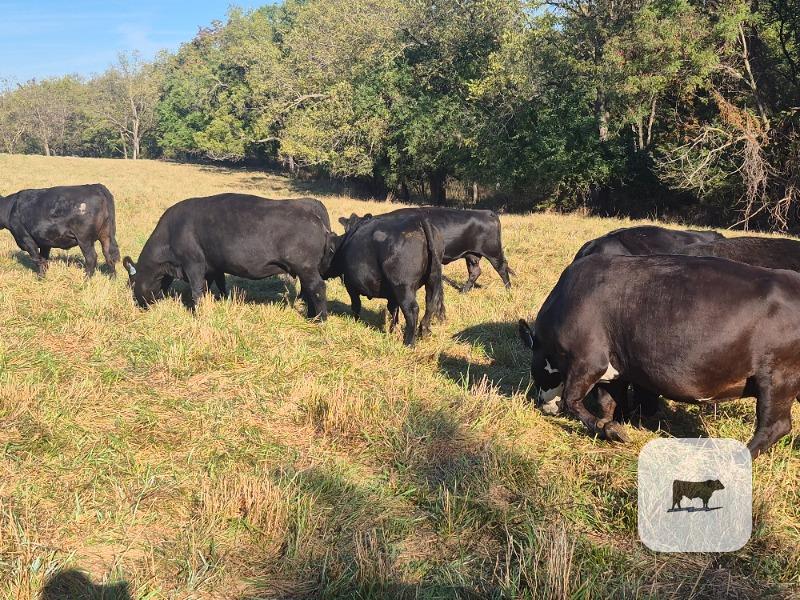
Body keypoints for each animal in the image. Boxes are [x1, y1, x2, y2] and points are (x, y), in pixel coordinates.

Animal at [122, 194, 333, 319]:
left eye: (132, 283)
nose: (138, 305)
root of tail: (313, 214)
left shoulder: (193, 264)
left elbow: (197, 291)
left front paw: (199, 314)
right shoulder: (213, 267)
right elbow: (217, 285)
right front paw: (222, 301)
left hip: (305, 267)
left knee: (317, 288)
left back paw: (320, 319)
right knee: (309, 289)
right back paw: (311, 314)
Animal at [326, 212, 445, 346]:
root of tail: (418, 221)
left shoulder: (350, 285)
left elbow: (356, 305)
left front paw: (355, 322)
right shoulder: (392, 294)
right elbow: (393, 309)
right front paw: (393, 330)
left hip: (403, 286)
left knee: (412, 309)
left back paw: (409, 343)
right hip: (432, 278)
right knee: (430, 304)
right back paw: (424, 332)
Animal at [379, 207, 513, 292]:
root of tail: (487, 213)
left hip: (493, 251)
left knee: (502, 268)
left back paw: (508, 290)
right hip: (471, 254)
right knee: (475, 271)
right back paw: (463, 291)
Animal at [518, 253, 800, 459]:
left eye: (537, 370)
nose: (542, 405)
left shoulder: (588, 361)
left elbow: (572, 400)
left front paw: (609, 430)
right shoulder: (615, 370)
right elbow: (608, 403)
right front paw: (608, 427)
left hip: (777, 378)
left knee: (775, 426)